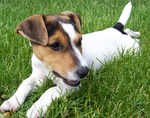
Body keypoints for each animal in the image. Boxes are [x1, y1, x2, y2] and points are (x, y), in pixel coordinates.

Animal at [0, 1, 140, 117]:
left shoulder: (70, 86)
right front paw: (11, 101)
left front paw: (36, 108)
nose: (84, 72)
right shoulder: (38, 76)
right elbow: (25, 83)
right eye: (55, 45)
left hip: (132, 50)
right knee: (127, 30)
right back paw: (136, 34)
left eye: (80, 41)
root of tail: (116, 29)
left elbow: (50, 90)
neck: (47, 69)